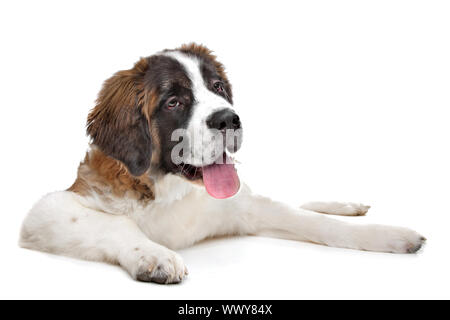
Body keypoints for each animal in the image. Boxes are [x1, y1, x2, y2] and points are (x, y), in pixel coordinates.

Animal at [19, 43, 428, 284]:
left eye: (217, 87)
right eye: (173, 102)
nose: (229, 119)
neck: (171, 191)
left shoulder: (245, 207)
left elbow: (313, 222)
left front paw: (387, 235)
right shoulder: (48, 212)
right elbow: (117, 224)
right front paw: (155, 255)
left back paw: (348, 206)